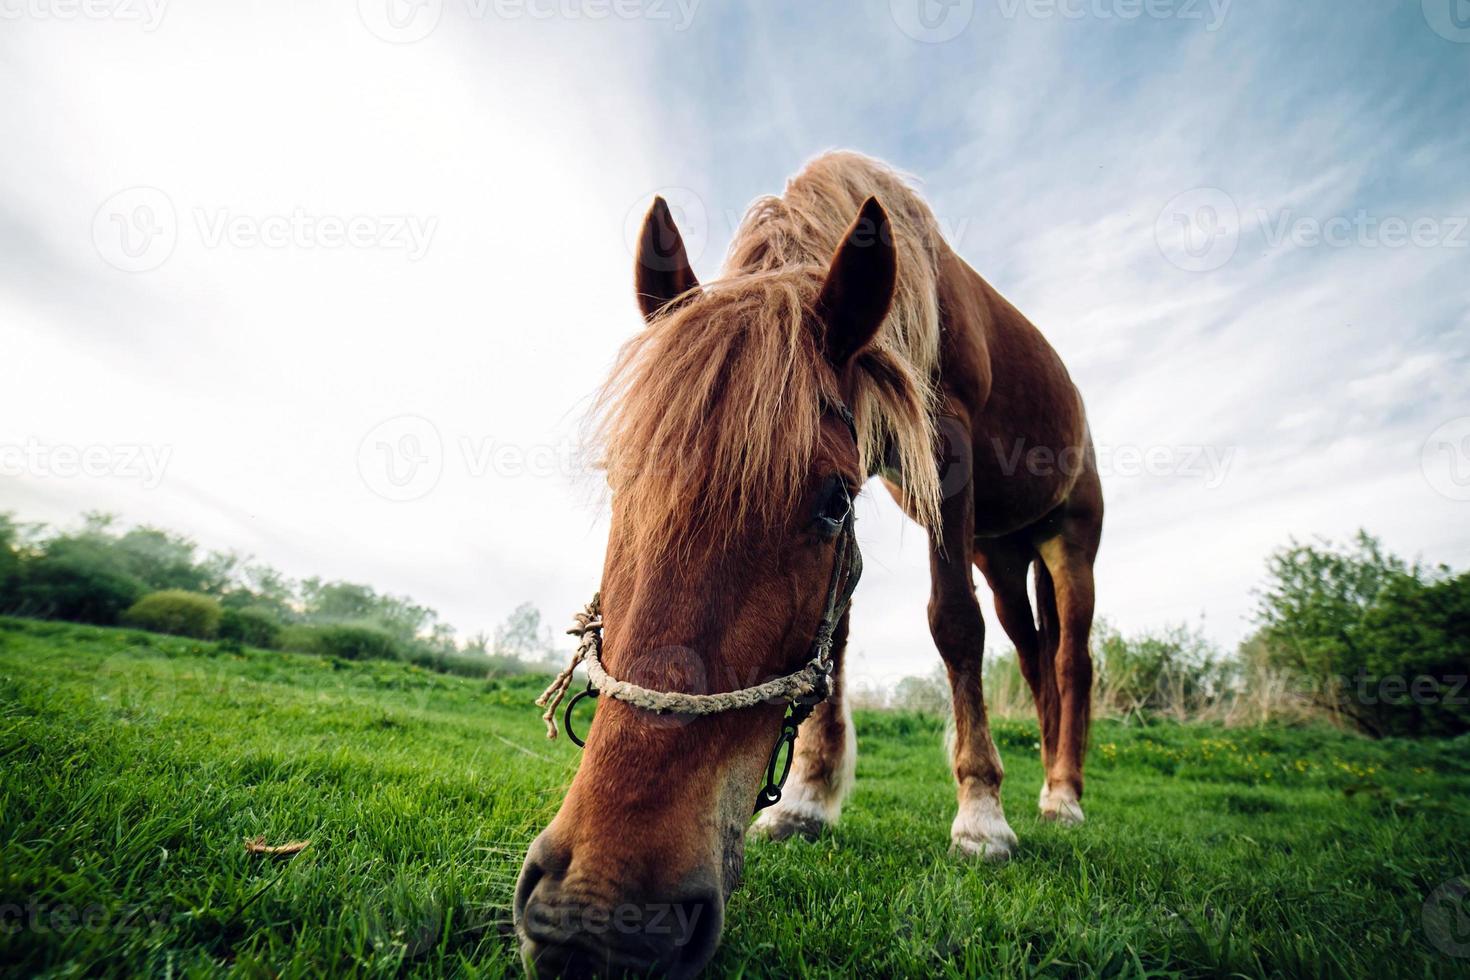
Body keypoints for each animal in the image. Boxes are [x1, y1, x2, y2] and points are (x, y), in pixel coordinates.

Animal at [517, 151, 1105, 975]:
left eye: (830, 501)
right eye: (617, 479)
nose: (595, 917)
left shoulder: (944, 449)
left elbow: (954, 626)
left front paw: (981, 812)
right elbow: (841, 634)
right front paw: (808, 799)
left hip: (1069, 543)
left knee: (1071, 661)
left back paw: (1062, 795)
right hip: (1002, 553)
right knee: (1034, 658)